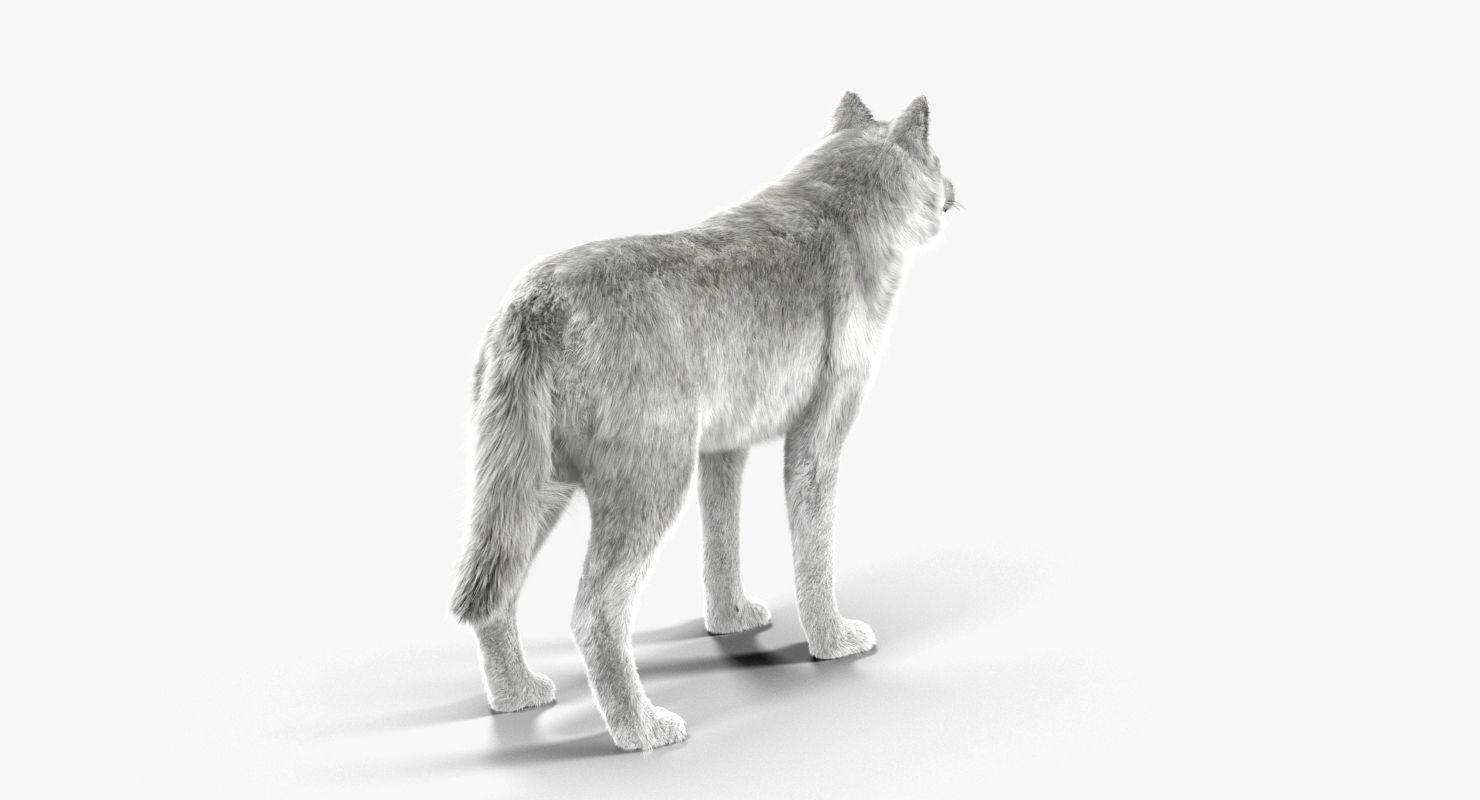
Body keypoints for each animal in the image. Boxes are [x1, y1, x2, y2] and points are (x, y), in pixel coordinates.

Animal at [451, 92, 955, 750]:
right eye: (940, 158)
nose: (955, 188)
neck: (841, 209)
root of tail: (535, 302)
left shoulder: (722, 450)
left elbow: (722, 542)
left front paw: (731, 620)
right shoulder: (818, 438)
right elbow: (815, 550)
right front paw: (833, 640)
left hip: (534, 487)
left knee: (496, 594)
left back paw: (517, 697)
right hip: (649, 485)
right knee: (594, 612)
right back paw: (642, 730)